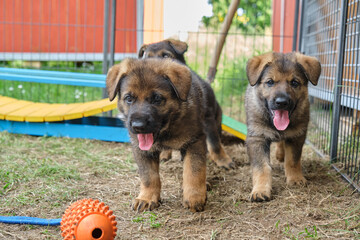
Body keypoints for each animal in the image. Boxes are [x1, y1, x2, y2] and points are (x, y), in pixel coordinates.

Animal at [105, 57, 232, 212]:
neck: (167, 129)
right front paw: (147, 198)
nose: (138, 126)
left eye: (157, 99)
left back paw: (221, 162)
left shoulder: (194, 141)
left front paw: (194, 196)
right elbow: (149, 176)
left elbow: (194, 170)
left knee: (215, 145)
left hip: (210, 123)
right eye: (129, 98)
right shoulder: (141, 149)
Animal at [245, 51, 320, 202]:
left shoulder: (296, 135)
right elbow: (262, 167)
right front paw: (260, 190)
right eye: (270, 82)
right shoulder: (257, 138)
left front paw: (295, 179)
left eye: (294, 82)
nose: (281, 102)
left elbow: (292, 160)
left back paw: (280, 155)